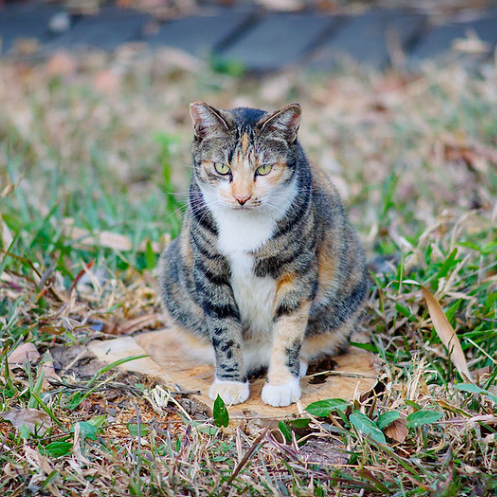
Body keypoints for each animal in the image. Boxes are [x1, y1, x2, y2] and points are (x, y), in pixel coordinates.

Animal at [159, 101, 368, 406]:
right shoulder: (210, 271)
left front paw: (281, 384)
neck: (245, 226)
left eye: (265, 168)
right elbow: (223, 330)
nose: (242, 197)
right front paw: (230, 383)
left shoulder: (297, 270)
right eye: (222, 168)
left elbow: (289, 328)